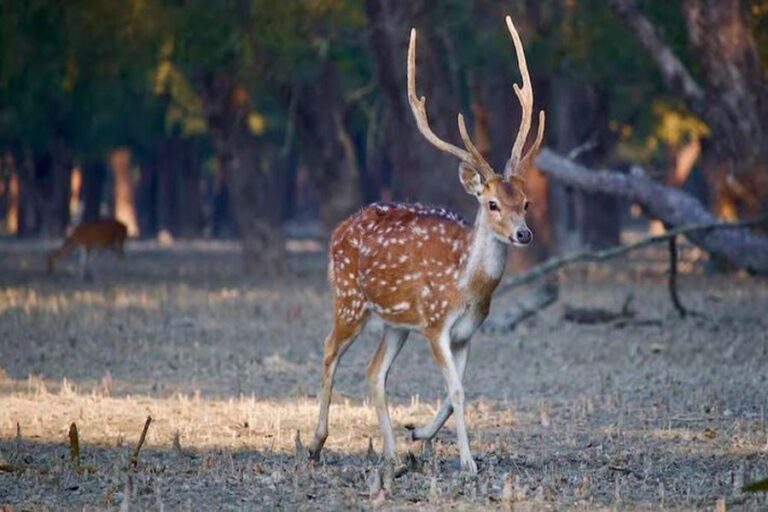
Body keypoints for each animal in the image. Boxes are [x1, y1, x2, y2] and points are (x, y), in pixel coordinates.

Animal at [308, 16, 544, 474]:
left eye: (525, 202)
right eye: (491, 203)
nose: (523, 234)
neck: (466, 288)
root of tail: (338, 230)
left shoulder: (466, 332)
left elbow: (457, 392)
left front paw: (418, 435)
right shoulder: (435, 324)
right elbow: (457, 392)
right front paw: (468, 462)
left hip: (396, 323)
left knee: (374, 371)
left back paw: (390, 452)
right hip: (349, 300)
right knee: (329, 350)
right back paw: (316, 443)